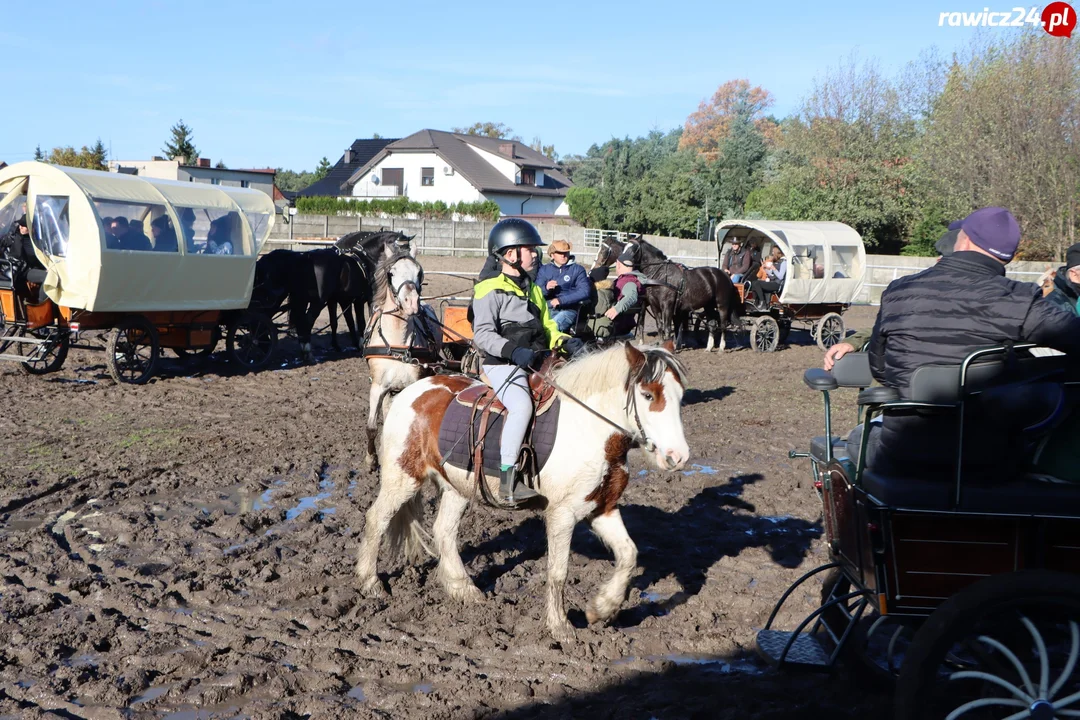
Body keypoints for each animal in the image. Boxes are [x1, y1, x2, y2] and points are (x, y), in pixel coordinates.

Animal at [356, 343, 691, 643]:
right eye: (647, 395)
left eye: (680, 396)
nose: (679, 457)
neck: (589, 429)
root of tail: (410, 392)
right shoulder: (562, 515)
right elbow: (558, 572)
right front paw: (560, 626)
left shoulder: (602, 507)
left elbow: (628, 555)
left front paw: (602, 608)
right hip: (402, 477)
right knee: (376, 520)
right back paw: (370, 582)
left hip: (457, 487)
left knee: (444, 531)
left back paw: (464, 589)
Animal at [362, 249, 438, 472]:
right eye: (391, 273)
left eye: (419, 272)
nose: (411, 303)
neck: (397, 345)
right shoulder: (378, 386)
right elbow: (371, 426)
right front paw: (371, 461)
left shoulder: (413, 384)